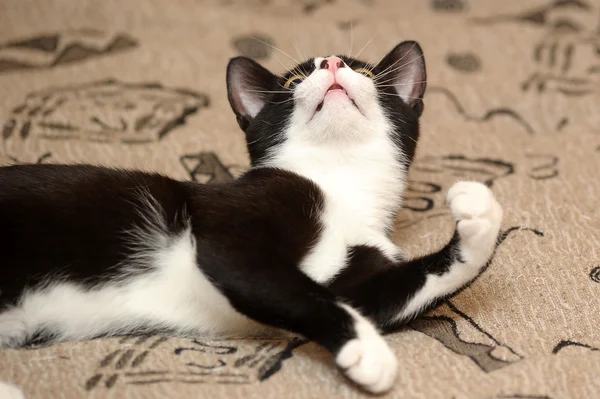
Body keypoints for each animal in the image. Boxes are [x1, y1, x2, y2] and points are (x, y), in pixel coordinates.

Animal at [0, 41, 502, 394]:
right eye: (295, 78)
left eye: (365, 72)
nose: (331, 65)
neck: (339, 182)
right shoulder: (231, 228)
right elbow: (295, 288)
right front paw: (366, 349)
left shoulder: (358, 268)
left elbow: (378, 295)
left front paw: (480, 219)